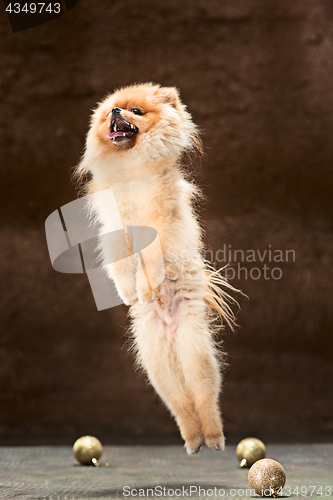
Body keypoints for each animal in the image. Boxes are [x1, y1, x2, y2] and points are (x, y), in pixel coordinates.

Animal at [75, 83, 236, 454]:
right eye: (110, 112)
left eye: (135, 111)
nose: (115, 113)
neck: (131, 172)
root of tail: (170, 327)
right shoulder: (115, 231)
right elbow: (122, 263)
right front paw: (131, 292)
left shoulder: (160, 226)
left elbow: (149, 259)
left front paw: (145, 285)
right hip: (156, 362)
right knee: (180, 403)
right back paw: (192, 440)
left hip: (195, 350)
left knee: (205, 398)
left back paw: (214, 438)